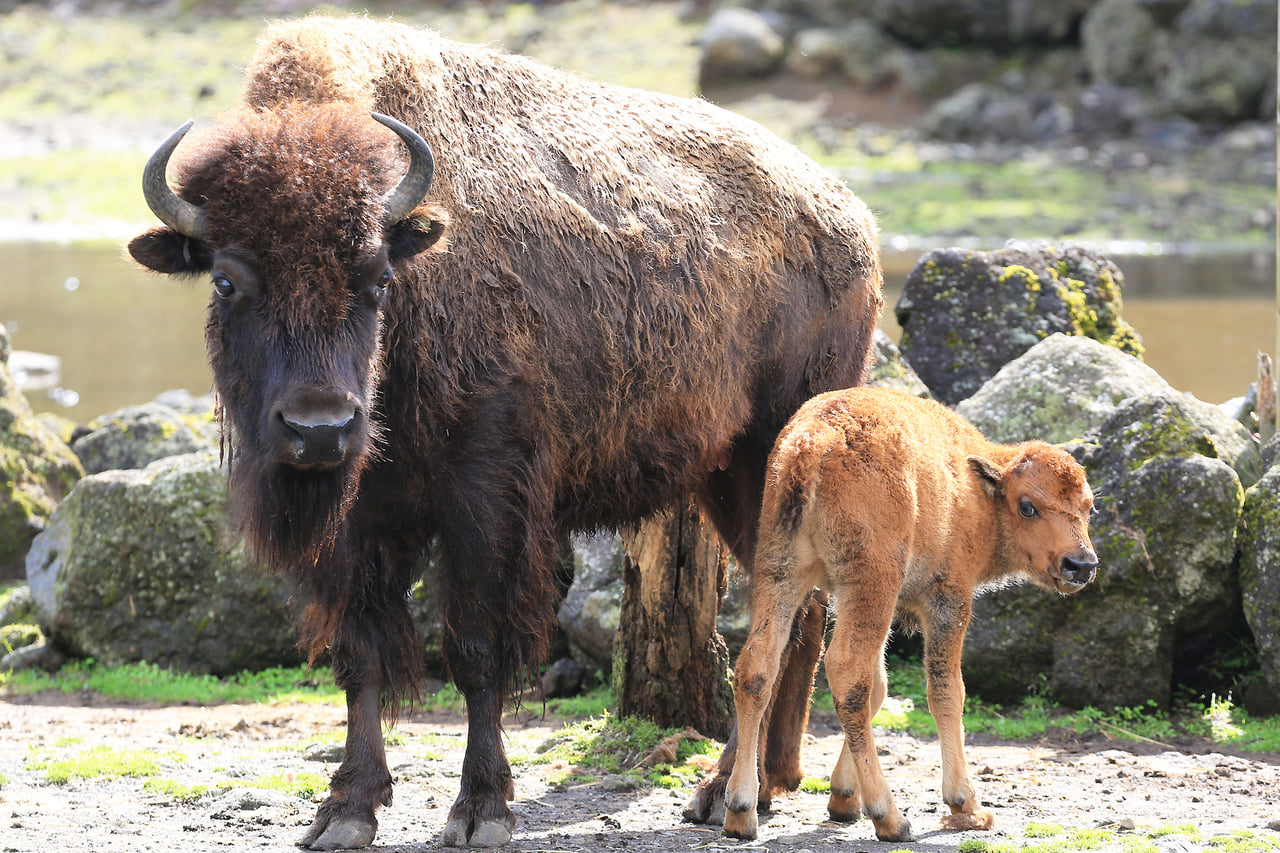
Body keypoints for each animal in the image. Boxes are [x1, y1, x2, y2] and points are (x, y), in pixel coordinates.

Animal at [129, 16, 885, 845]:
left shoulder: (486, 496)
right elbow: (359, 653)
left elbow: (475, 649)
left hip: (769, 452)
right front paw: (345, 810)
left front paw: (481, 808)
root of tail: (854, 223)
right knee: (799, 610)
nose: (320, 428)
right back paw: (769, 782)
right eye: (227, 280)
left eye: (378, 279)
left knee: (788, 613)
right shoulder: (359, 524)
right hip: (728, 475)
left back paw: (726, 791)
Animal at [727, 389, 1095, 840]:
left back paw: (740, 811)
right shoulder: (948, 602)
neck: (978, 492)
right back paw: (891, 818)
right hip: (872, 580)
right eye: (1028, 507)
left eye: (1089, 508)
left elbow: (881, 688)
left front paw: (844, 798)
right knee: (846, 671)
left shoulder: (864, 602)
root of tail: (814, 439)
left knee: (757, 667)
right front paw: (968, 807)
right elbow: (946, 692)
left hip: (781, 571)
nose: (1080, 565)